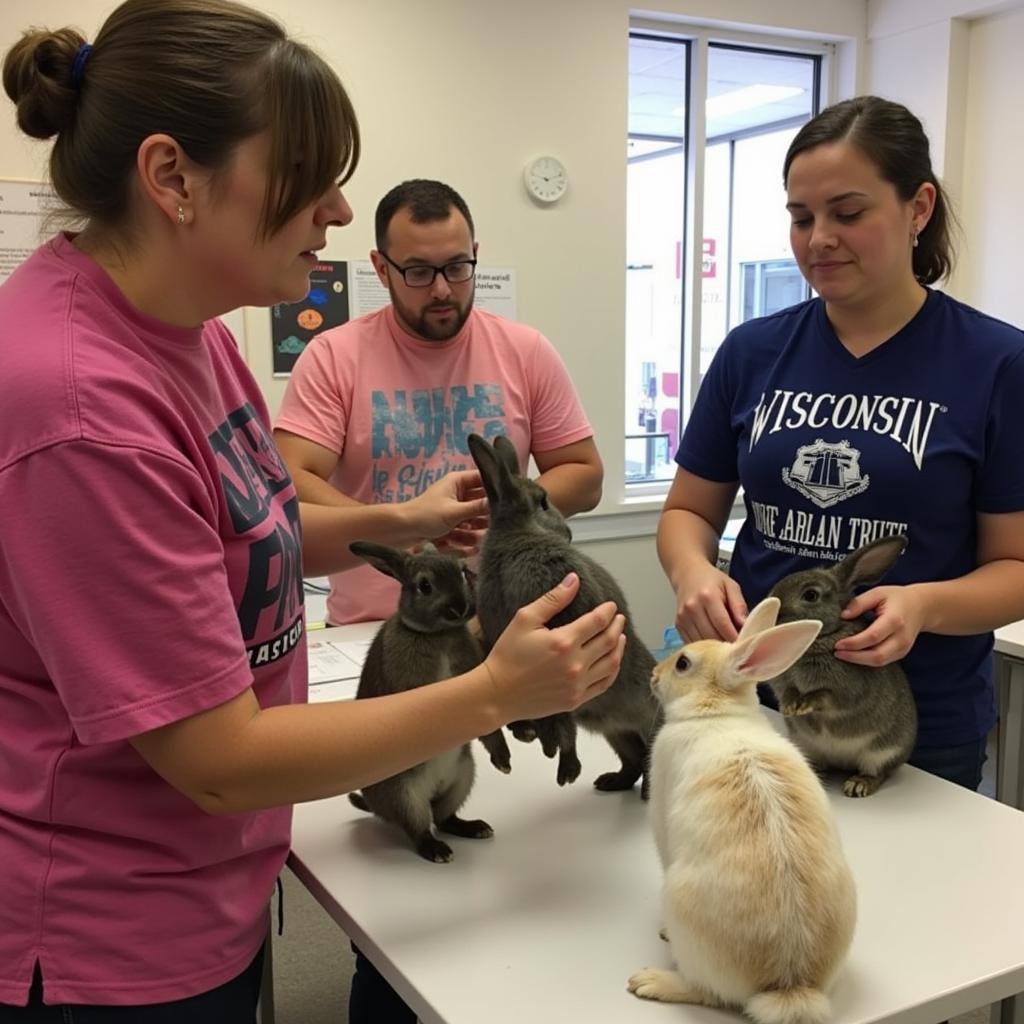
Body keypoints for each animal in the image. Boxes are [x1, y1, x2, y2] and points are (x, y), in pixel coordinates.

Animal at [348, 540, 512, 860]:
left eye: (463, 572)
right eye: (424, 586)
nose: (460, 608)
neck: (439, 635)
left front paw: (503, 763)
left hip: (462, 776)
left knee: (444, 817)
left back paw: (475, 828)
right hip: (405, 795)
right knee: (420, 828)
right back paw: (438, 851)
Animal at [466, 432, 659, 798]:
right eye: (542, 502)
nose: (567, 533)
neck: (516, 535)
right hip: (609, 727)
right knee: (631, 759)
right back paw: (596, 777)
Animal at [630, 598, 856, 1024]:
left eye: (682, 663)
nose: (653, 674)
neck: (716, 713)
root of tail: (788, 986)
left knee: (707, 993)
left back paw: (652, 980)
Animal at [765, 536, 917, 798]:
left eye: (811, 595)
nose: (772, 611)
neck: (818, 638)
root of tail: (842, 763)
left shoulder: (848, 689)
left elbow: (826, 696)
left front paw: (803, 705)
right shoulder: (783, 683)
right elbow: (789, 691)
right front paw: (790, 707)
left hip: (882, 752)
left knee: (878, 773)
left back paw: (858, 785)